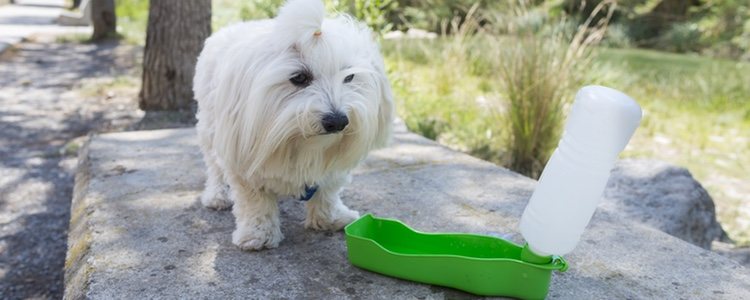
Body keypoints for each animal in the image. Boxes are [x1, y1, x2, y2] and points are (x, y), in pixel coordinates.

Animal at [192, 0, 394, 251]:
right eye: (299, 78)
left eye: (349, 77)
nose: (338, 121)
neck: (299, 144)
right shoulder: (243, 158)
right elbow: (254, 200)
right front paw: (258, 233)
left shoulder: (331, 168)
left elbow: (327, 190)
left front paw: (330, 218)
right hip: (210, 127)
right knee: (214, 166)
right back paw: (217, 195)